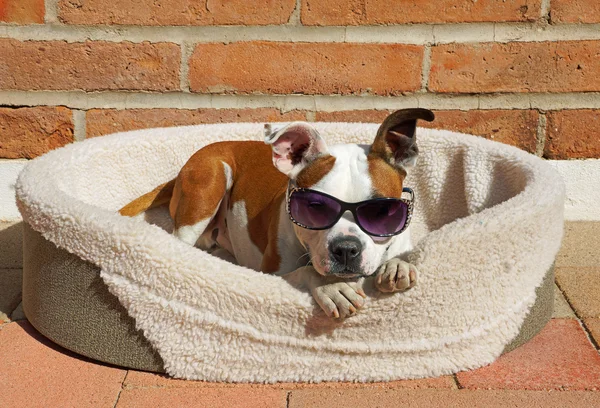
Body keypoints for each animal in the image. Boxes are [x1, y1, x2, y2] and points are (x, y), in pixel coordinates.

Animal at [119, 108, 434, 318]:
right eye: (315, 207)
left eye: (381, 212)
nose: (346, 249)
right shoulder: (273, 274)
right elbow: (305, 271)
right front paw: (331, 287)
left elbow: (398, 254)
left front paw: (397, 266)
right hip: (210, 180)